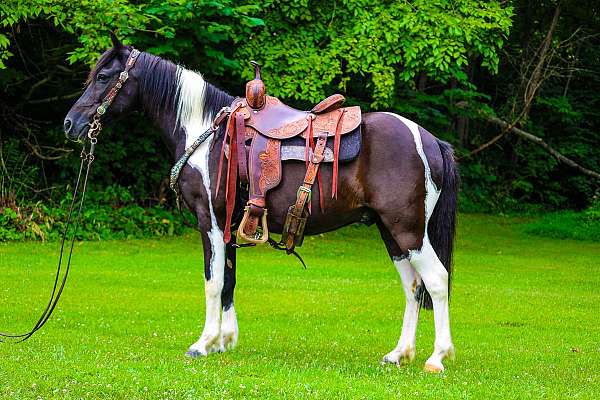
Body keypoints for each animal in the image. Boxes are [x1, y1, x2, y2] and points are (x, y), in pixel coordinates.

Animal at [64, 37, 460, 372]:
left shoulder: (210, 222)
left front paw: (203, 343)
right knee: (413, 287)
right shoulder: (228, 226)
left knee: (437, 281)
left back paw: (437, 358)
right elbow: (228, 281)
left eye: (103, 77)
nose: (70, 123)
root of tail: (430, 140)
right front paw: (224, 341)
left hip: (408, 230)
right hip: (391, 233)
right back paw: (399, 353)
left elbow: (212, 281)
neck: (207, 134)